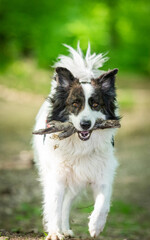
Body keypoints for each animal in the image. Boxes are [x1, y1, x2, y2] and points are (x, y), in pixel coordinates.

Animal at [32, 43, 119, 240]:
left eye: (95, 105)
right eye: (74, 104)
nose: (85, 124)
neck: (81, 146)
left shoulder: (103, 173)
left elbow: (103, 202)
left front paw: (96, 225)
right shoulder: (57, 177)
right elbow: (54, 207)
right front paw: (54, 232)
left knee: (67, 203)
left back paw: (66, 228)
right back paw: (61, 229)